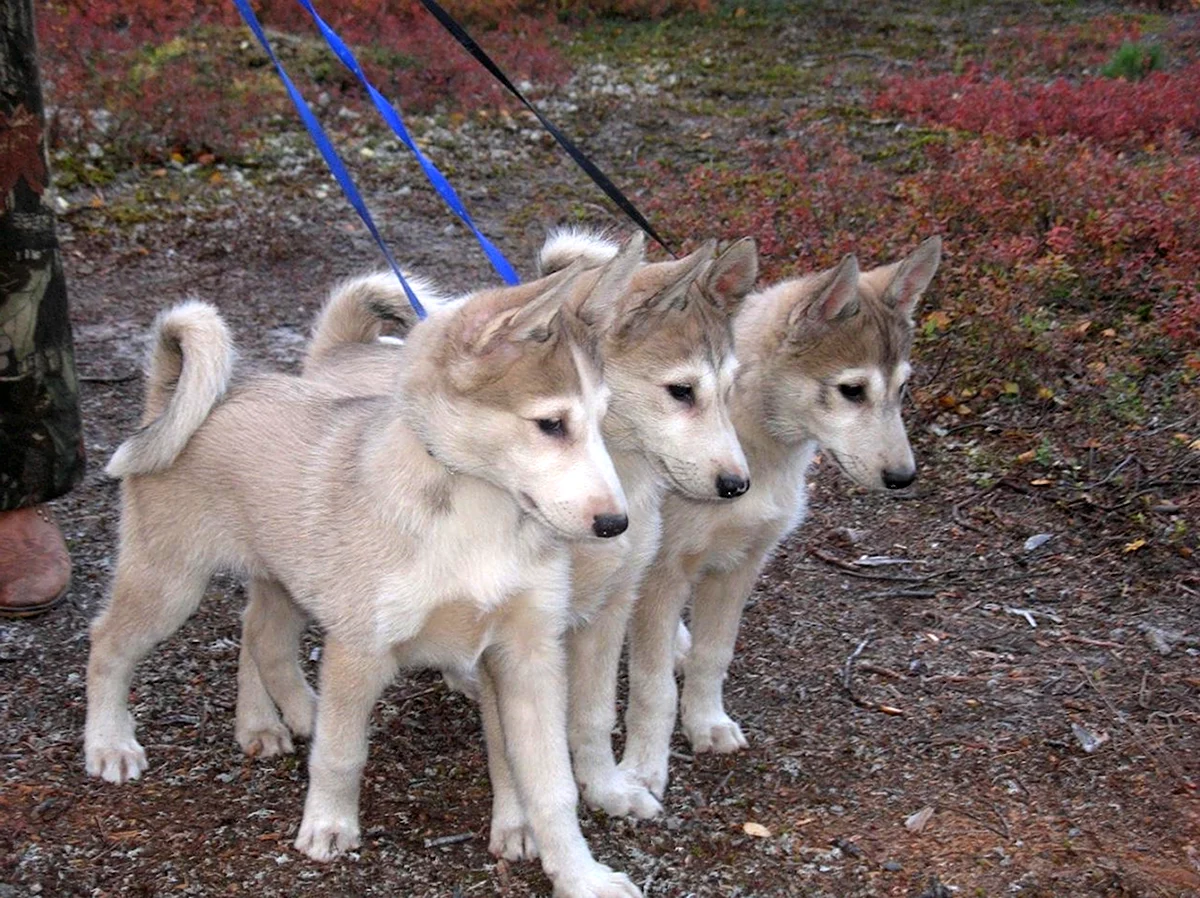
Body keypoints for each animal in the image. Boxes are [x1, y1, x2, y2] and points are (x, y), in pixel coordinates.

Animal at [85, 240, 652, 897]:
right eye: (551, 424)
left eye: (603, 418)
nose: (615, 525)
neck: (476, 516)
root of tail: (172, 396)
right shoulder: (361, 647)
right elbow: (342, 754)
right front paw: (328, 824)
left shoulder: (526, 656)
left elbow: (551, 786)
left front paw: (582, 876)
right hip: (170, 584)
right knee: (109, 642)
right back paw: (110, 742)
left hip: (285, 577)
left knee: (259, 634)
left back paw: (272, 719)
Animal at [232, 228, 753, 854]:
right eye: (681, 391)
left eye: (731, 391)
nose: (737, 485)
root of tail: (340, 351)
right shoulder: (511, 634)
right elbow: (509, 748)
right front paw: (521, 826)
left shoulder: (600, 616)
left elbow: (591, 717)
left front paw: (606, 788)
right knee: (256, 624)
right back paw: (258, 722)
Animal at [619, 238, 945, 801]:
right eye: (852, 390)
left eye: (902, 388)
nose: (904, 477)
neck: (758, 452)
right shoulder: (663, 572)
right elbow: (653, 688)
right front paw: (642, 769)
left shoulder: (741, 565)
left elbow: (714, 656)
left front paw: (706, 722)